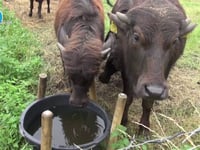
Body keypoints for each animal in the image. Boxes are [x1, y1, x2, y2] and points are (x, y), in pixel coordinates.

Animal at [99, 0, 196, 134]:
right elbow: (127, 98)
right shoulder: (126, 69)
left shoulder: (165, 73)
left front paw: (144, 127)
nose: (154, 91)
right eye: (136, 37)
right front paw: (123, 121)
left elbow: (148, 102)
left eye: (175, 41)